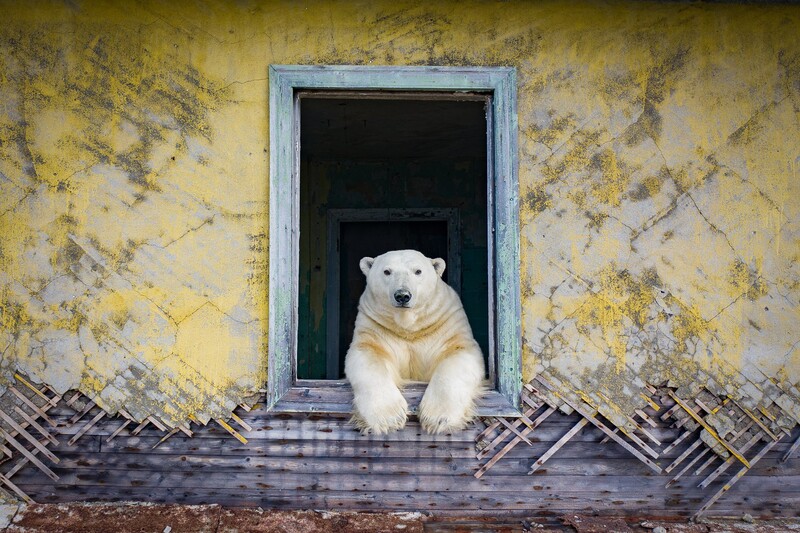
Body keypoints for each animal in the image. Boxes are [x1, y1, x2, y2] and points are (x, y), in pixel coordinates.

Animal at [344, 249, 486, 434]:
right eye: (387, 271)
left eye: (418, 271)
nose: (402, 295)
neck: (409, 327)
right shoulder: (375, 326)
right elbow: (368, 355)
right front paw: (389, 418)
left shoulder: (446, 322)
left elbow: (458, 353)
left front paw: (437, 418)